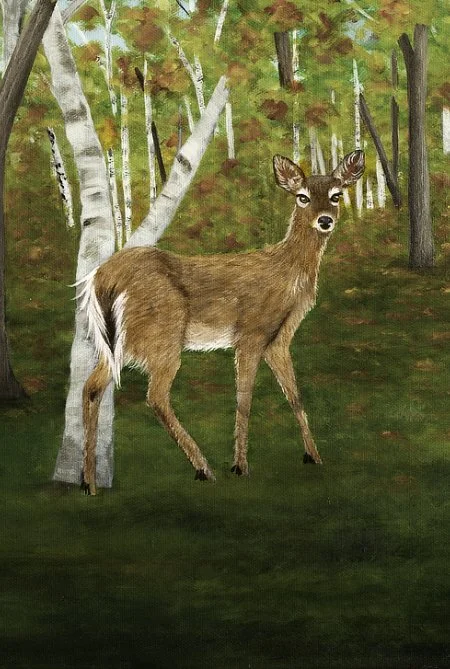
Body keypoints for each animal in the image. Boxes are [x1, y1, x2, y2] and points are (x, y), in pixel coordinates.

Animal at [79, 150, 365, 494]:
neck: (289, 276)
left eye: (336, 195)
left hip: (121, 343)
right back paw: (203, 468)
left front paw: (313, 456)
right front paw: (240, 466)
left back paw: (89, 483)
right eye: (302, 197)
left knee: (91, 388)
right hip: (162, 333)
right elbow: (244, 400)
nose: (325, 220)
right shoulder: (251, 332)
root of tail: (102, 278)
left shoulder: (279, 339)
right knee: (156, 396)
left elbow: (294, 396)